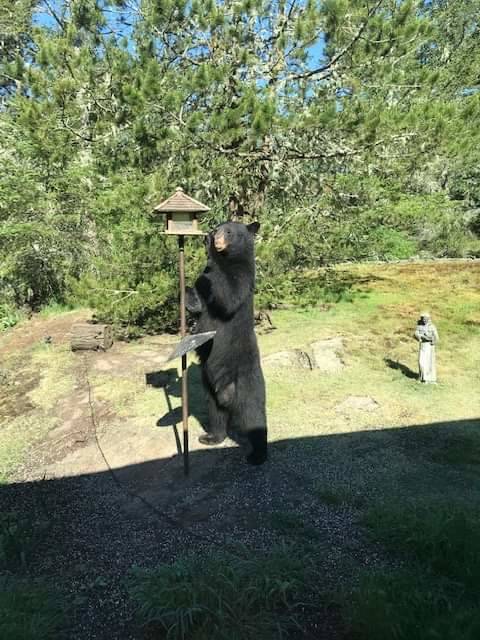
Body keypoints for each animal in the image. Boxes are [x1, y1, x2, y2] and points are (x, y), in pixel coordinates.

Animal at [185, 221, 267, 465]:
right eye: (217, 228)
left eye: (228, 231)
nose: (216, 236)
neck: (230, 259)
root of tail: (227, 395)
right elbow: (198, 304)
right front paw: (188, 289)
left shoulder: (242, 276)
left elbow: (229, 296)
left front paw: (209, 250)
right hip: (209, 387)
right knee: (216, 413)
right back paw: (212, 437)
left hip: (247, 383)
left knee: (254, 416)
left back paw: (258, 455)